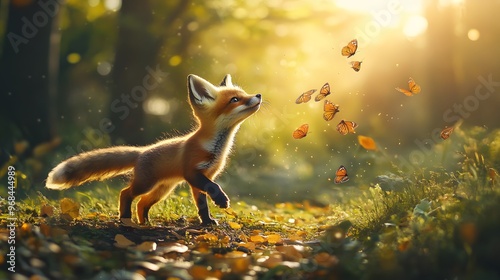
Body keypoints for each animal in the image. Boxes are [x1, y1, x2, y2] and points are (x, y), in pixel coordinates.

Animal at [46, 74, 262, 225]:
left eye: (244, 94)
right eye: (235, 100)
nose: (258, 95)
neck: (215, 147)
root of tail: (142, 151)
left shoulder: (202, 178)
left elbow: (202, 205)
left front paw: (207, 222)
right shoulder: (192, 172)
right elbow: (213, 188)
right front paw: (221, 200)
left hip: (162, 190)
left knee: (142, 203)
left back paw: (146, 224)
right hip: (146, 183)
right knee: (126, 194)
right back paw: (126, 220)